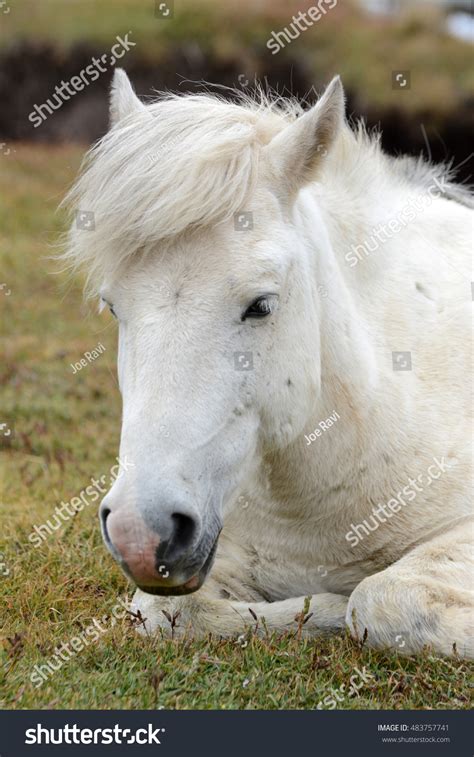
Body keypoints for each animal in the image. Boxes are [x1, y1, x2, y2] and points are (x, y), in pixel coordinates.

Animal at [65, 68, 472, 656]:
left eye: (261, 305)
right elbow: (169, 613)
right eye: (113, 306)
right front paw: (319, 610)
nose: (141, 534)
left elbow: (381, 600)